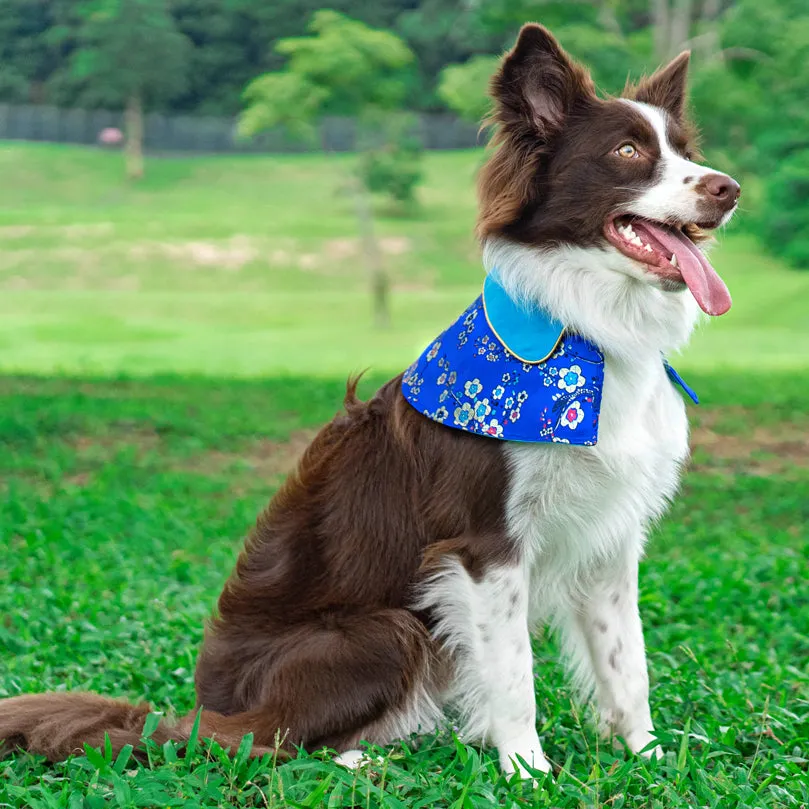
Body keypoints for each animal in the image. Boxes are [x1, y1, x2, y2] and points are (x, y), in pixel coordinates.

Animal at [0, 25, 740, 776]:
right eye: (627, 152)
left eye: (685, 150)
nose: (728, 188)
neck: (587, 337)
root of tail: (202, 712)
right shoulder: (483, 545)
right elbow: (513, 675)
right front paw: (527, 770)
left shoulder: (608, 540)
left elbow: (627, 664)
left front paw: (649, 755)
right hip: (385, 628)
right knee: (257, 744)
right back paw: (363, 763)